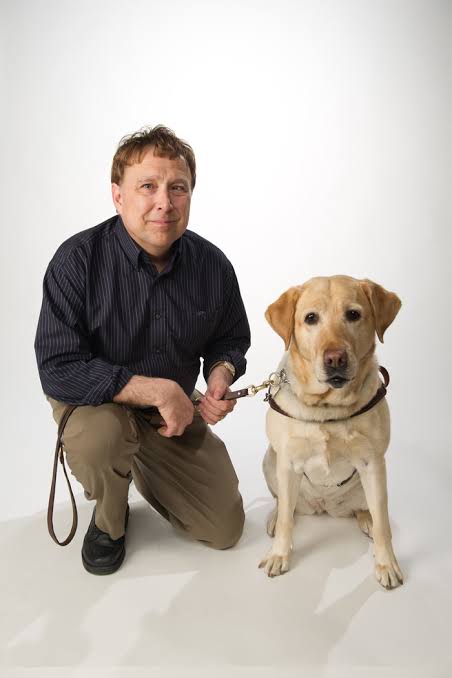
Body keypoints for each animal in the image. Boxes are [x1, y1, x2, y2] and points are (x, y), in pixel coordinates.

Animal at [260, 276, 404, 588]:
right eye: (310, 318)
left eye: (353, 314)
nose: (335, 358)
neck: (327, 408)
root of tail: (324, 506)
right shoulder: (287, 462)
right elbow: (287, 518)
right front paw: (279, 555)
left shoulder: (373, 462)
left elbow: (384, 521)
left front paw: (386, 563)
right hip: (270, 461)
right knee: (285, 505)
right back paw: (276, 517)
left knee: (369, 509)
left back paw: (366, 519)